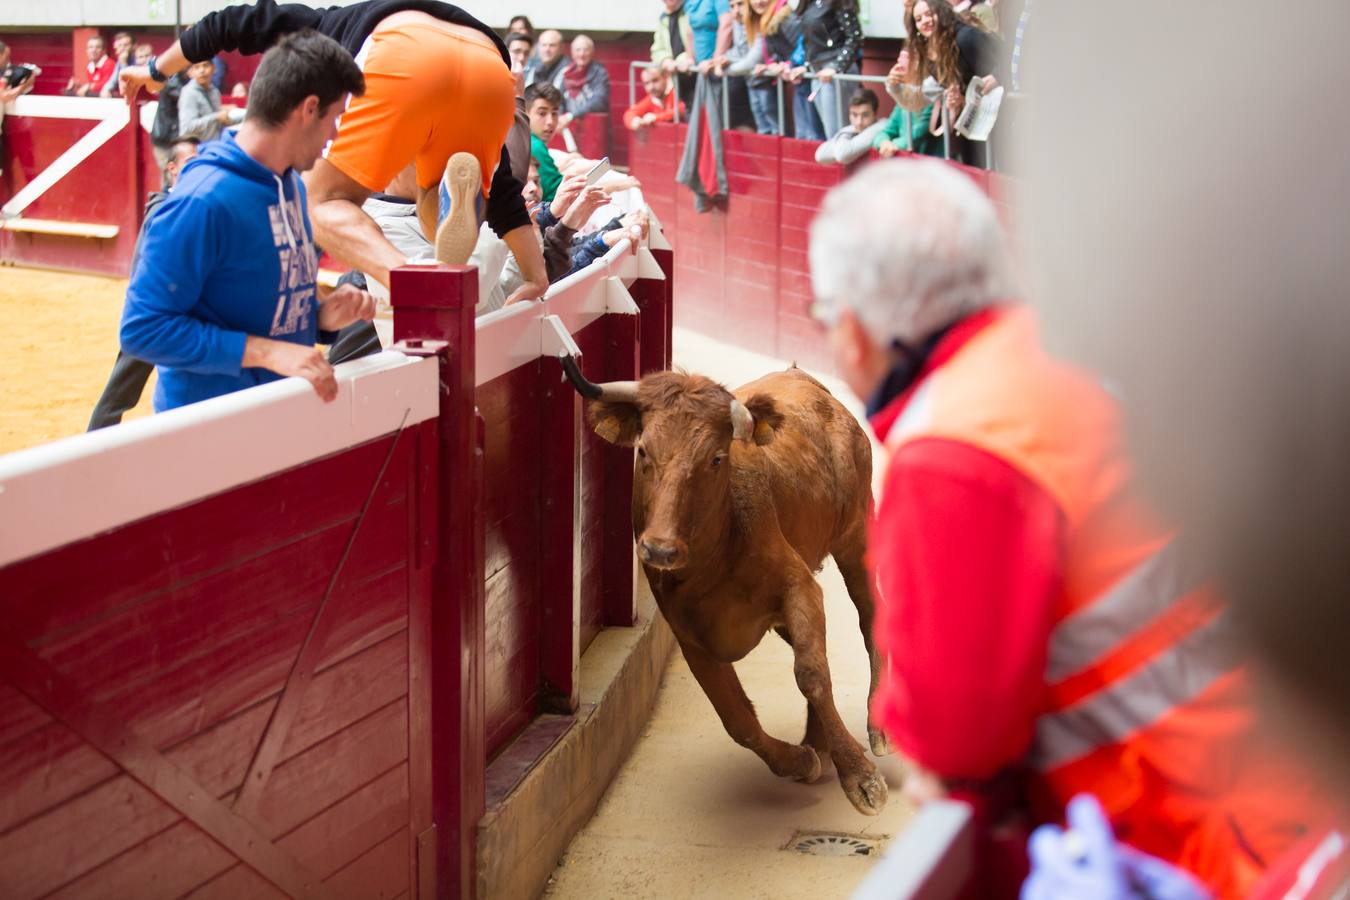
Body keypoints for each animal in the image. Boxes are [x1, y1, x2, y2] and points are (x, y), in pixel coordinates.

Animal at [564, 361, 891, 814]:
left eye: (716, 458)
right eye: (643, 450)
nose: (659, 548)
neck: (713, 561)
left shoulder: (800, 587)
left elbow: (811, 674)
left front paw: (861, 779)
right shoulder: (690, 636)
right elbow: (736, 717)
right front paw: (801, 759)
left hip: (857, 534)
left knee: (869, 616)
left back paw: (876, 728)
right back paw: (817, 744)